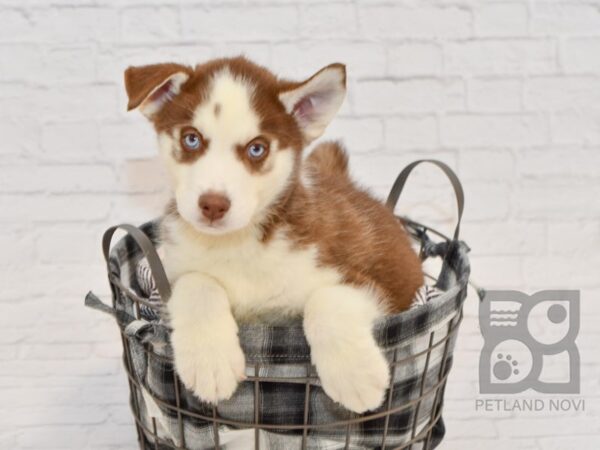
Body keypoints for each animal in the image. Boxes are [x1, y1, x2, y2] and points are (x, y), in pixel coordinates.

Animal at [123, 58, 422, 414]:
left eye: (257, 148)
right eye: (191, 139)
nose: (213, 205)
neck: (238, 244)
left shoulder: (378, 286)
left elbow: (326, 299)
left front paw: (355, 375)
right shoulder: (168, 274)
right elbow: (197, 282)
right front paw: (210, 360)